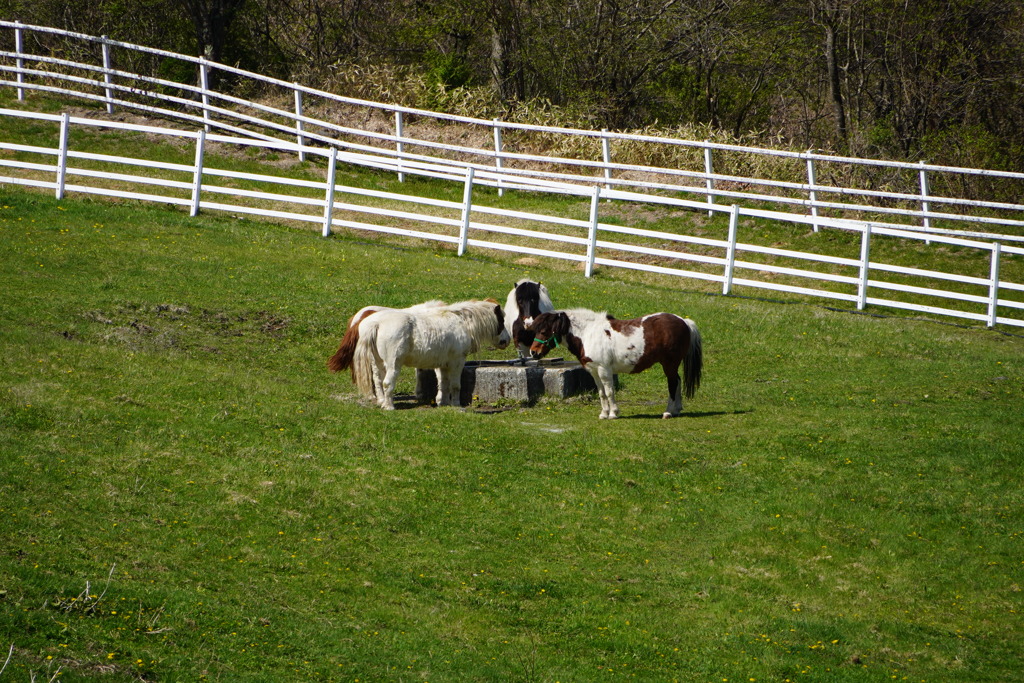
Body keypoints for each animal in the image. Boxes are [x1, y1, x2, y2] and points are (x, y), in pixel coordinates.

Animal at [352, 296, 512, 405]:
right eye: (501, 320)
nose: (507, 341)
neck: (462, 322)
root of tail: (376, 323)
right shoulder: (457, 362)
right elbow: (455, 386)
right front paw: (456, 405)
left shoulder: (443, 365)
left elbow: (443, 384)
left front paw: (444, 403)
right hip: (393, 364)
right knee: (387, 383)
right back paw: (389, 406)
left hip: (379, 363)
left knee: (380, 381)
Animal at [528, 309, 704, 417]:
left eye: (544, 331)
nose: (533, 352)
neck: (588, 334)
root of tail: (684, 321)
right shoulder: (594, 371)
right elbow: (601, 393)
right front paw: (604, 413)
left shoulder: (604, 370)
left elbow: (609, 391)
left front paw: (613, 413)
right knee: (678, 381)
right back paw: (677, 410)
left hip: (669, 363)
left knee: (673, 383)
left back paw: (668, 412)